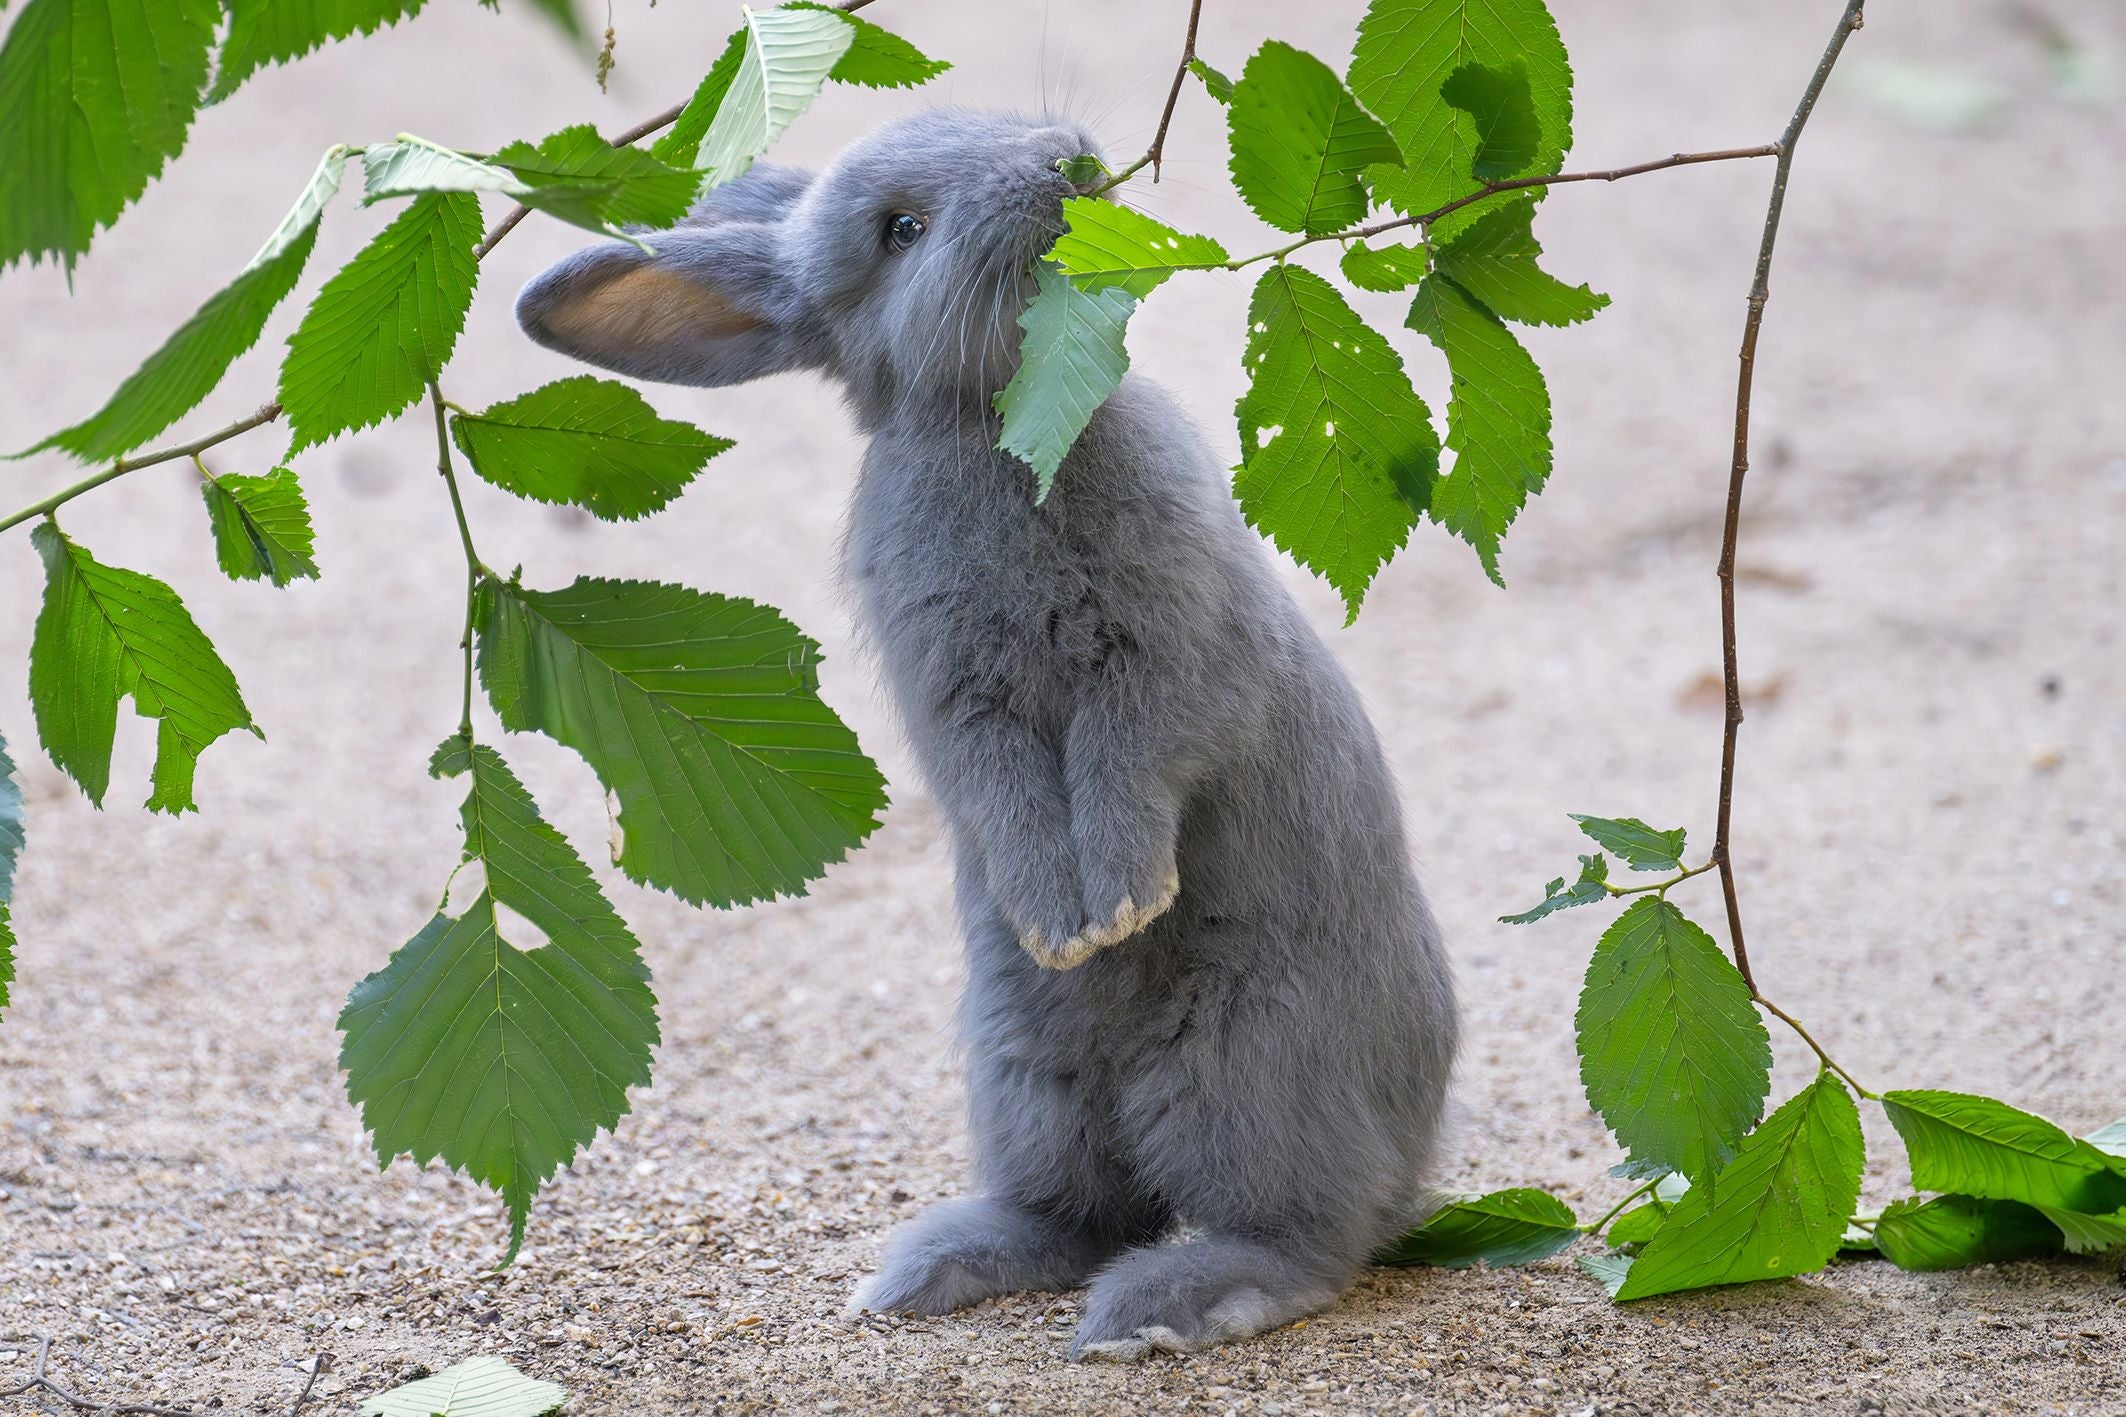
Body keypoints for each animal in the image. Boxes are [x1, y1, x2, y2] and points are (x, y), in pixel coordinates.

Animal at [515, 109, 1458, 1362]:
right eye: (900, 231)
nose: (1062, 159)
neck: (1008, 427)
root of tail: (1416, 1132)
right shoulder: (961, 702)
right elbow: (1005, 791)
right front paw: (1070, 925)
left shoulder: (1160, 664)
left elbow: (1129, 765)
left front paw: (1115, 907)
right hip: (1026, 1071)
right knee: (1092, 1214)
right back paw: (933, 1272)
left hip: (1245, 1062)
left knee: (1307, 1238)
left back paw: (1152, 1311)